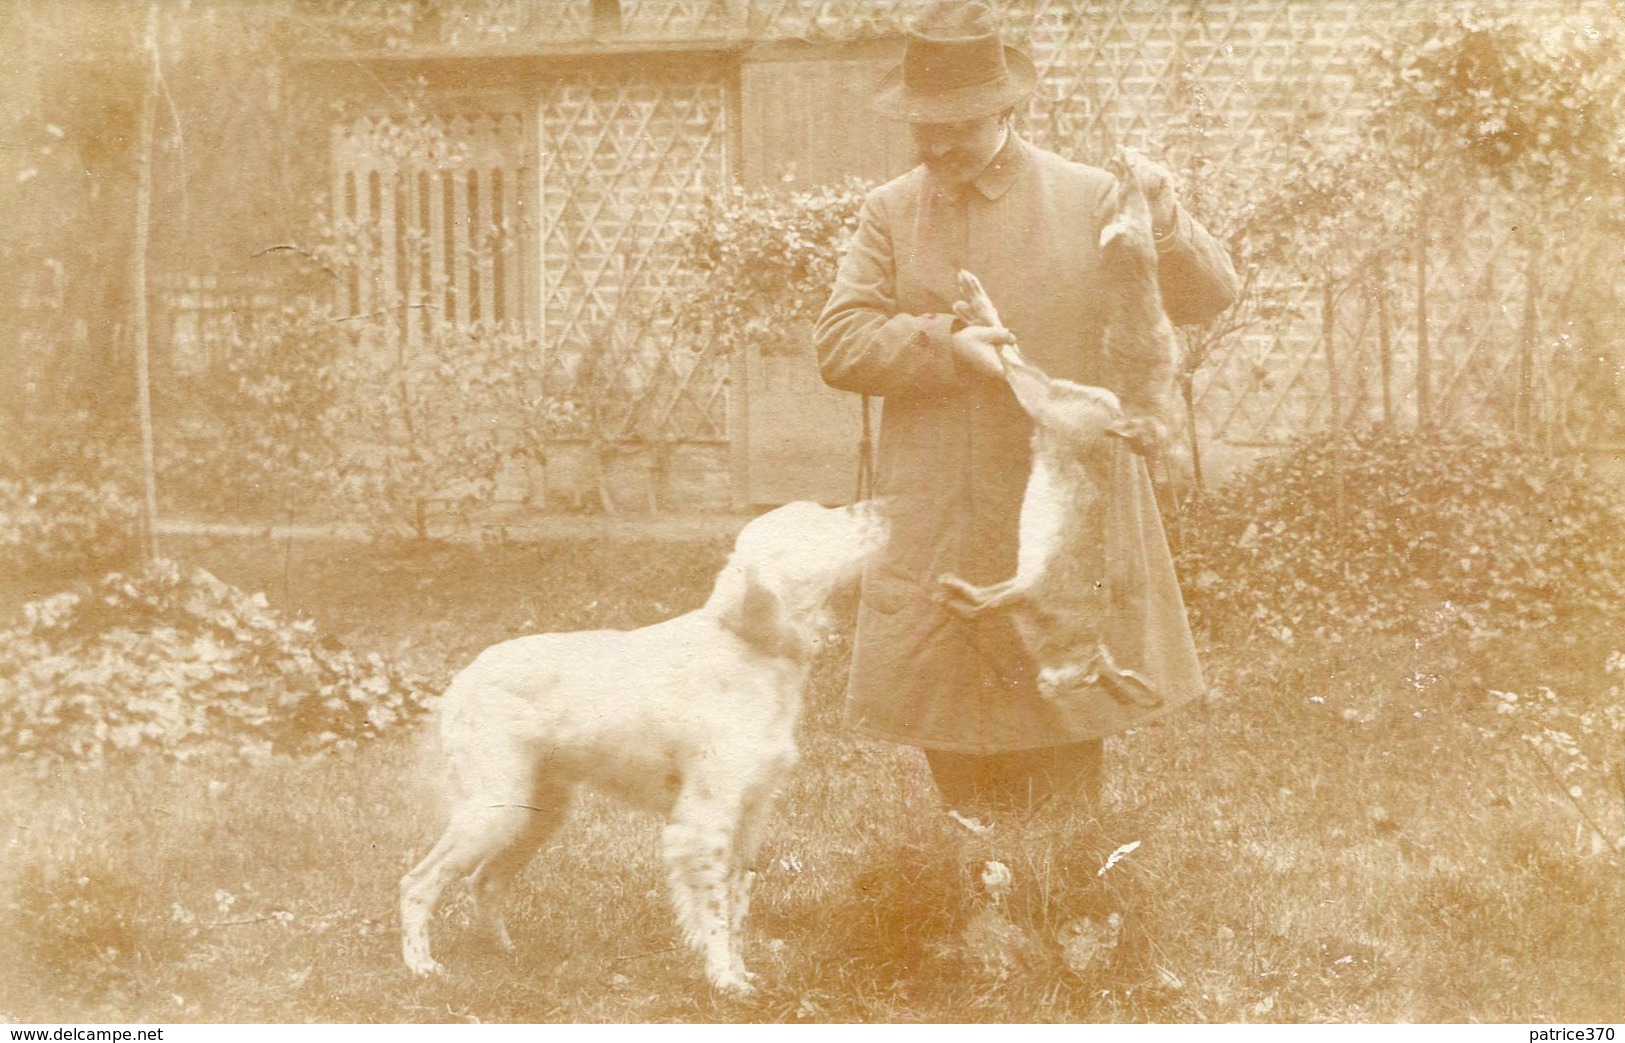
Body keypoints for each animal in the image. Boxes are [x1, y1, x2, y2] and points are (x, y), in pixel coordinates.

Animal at [406, 500, 890, 987]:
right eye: (818, 523)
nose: (879, 505)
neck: (746, 648)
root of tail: (464, 678)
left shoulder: (750, 815)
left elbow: (736, 907)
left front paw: (742, 974)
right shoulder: (703, 821)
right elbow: (715, 912)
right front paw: (724, 980)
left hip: (536, 813)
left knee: (484, 881)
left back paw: (505, 953)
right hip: (494, 810)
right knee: (417, 883)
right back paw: (421, 965)